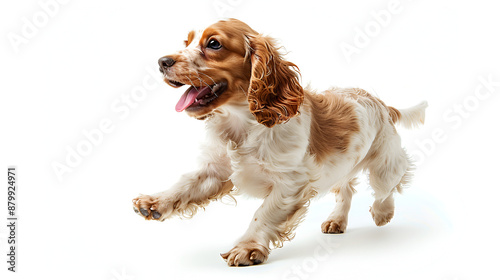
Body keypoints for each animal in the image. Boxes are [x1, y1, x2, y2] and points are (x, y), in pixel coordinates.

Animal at [132, 18, 426, 266]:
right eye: (186, 42)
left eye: (213, 43)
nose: (162, 61)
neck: (242, 123)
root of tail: (382, 103)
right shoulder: (216, 171)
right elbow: (185, 184)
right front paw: (155, 203)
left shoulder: (291, 183)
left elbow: (264, 213)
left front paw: (247, 248)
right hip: (343, 165)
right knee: (346, 190)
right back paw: (336, 221)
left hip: (385, 164)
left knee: (388, 187)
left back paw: (382, 212)